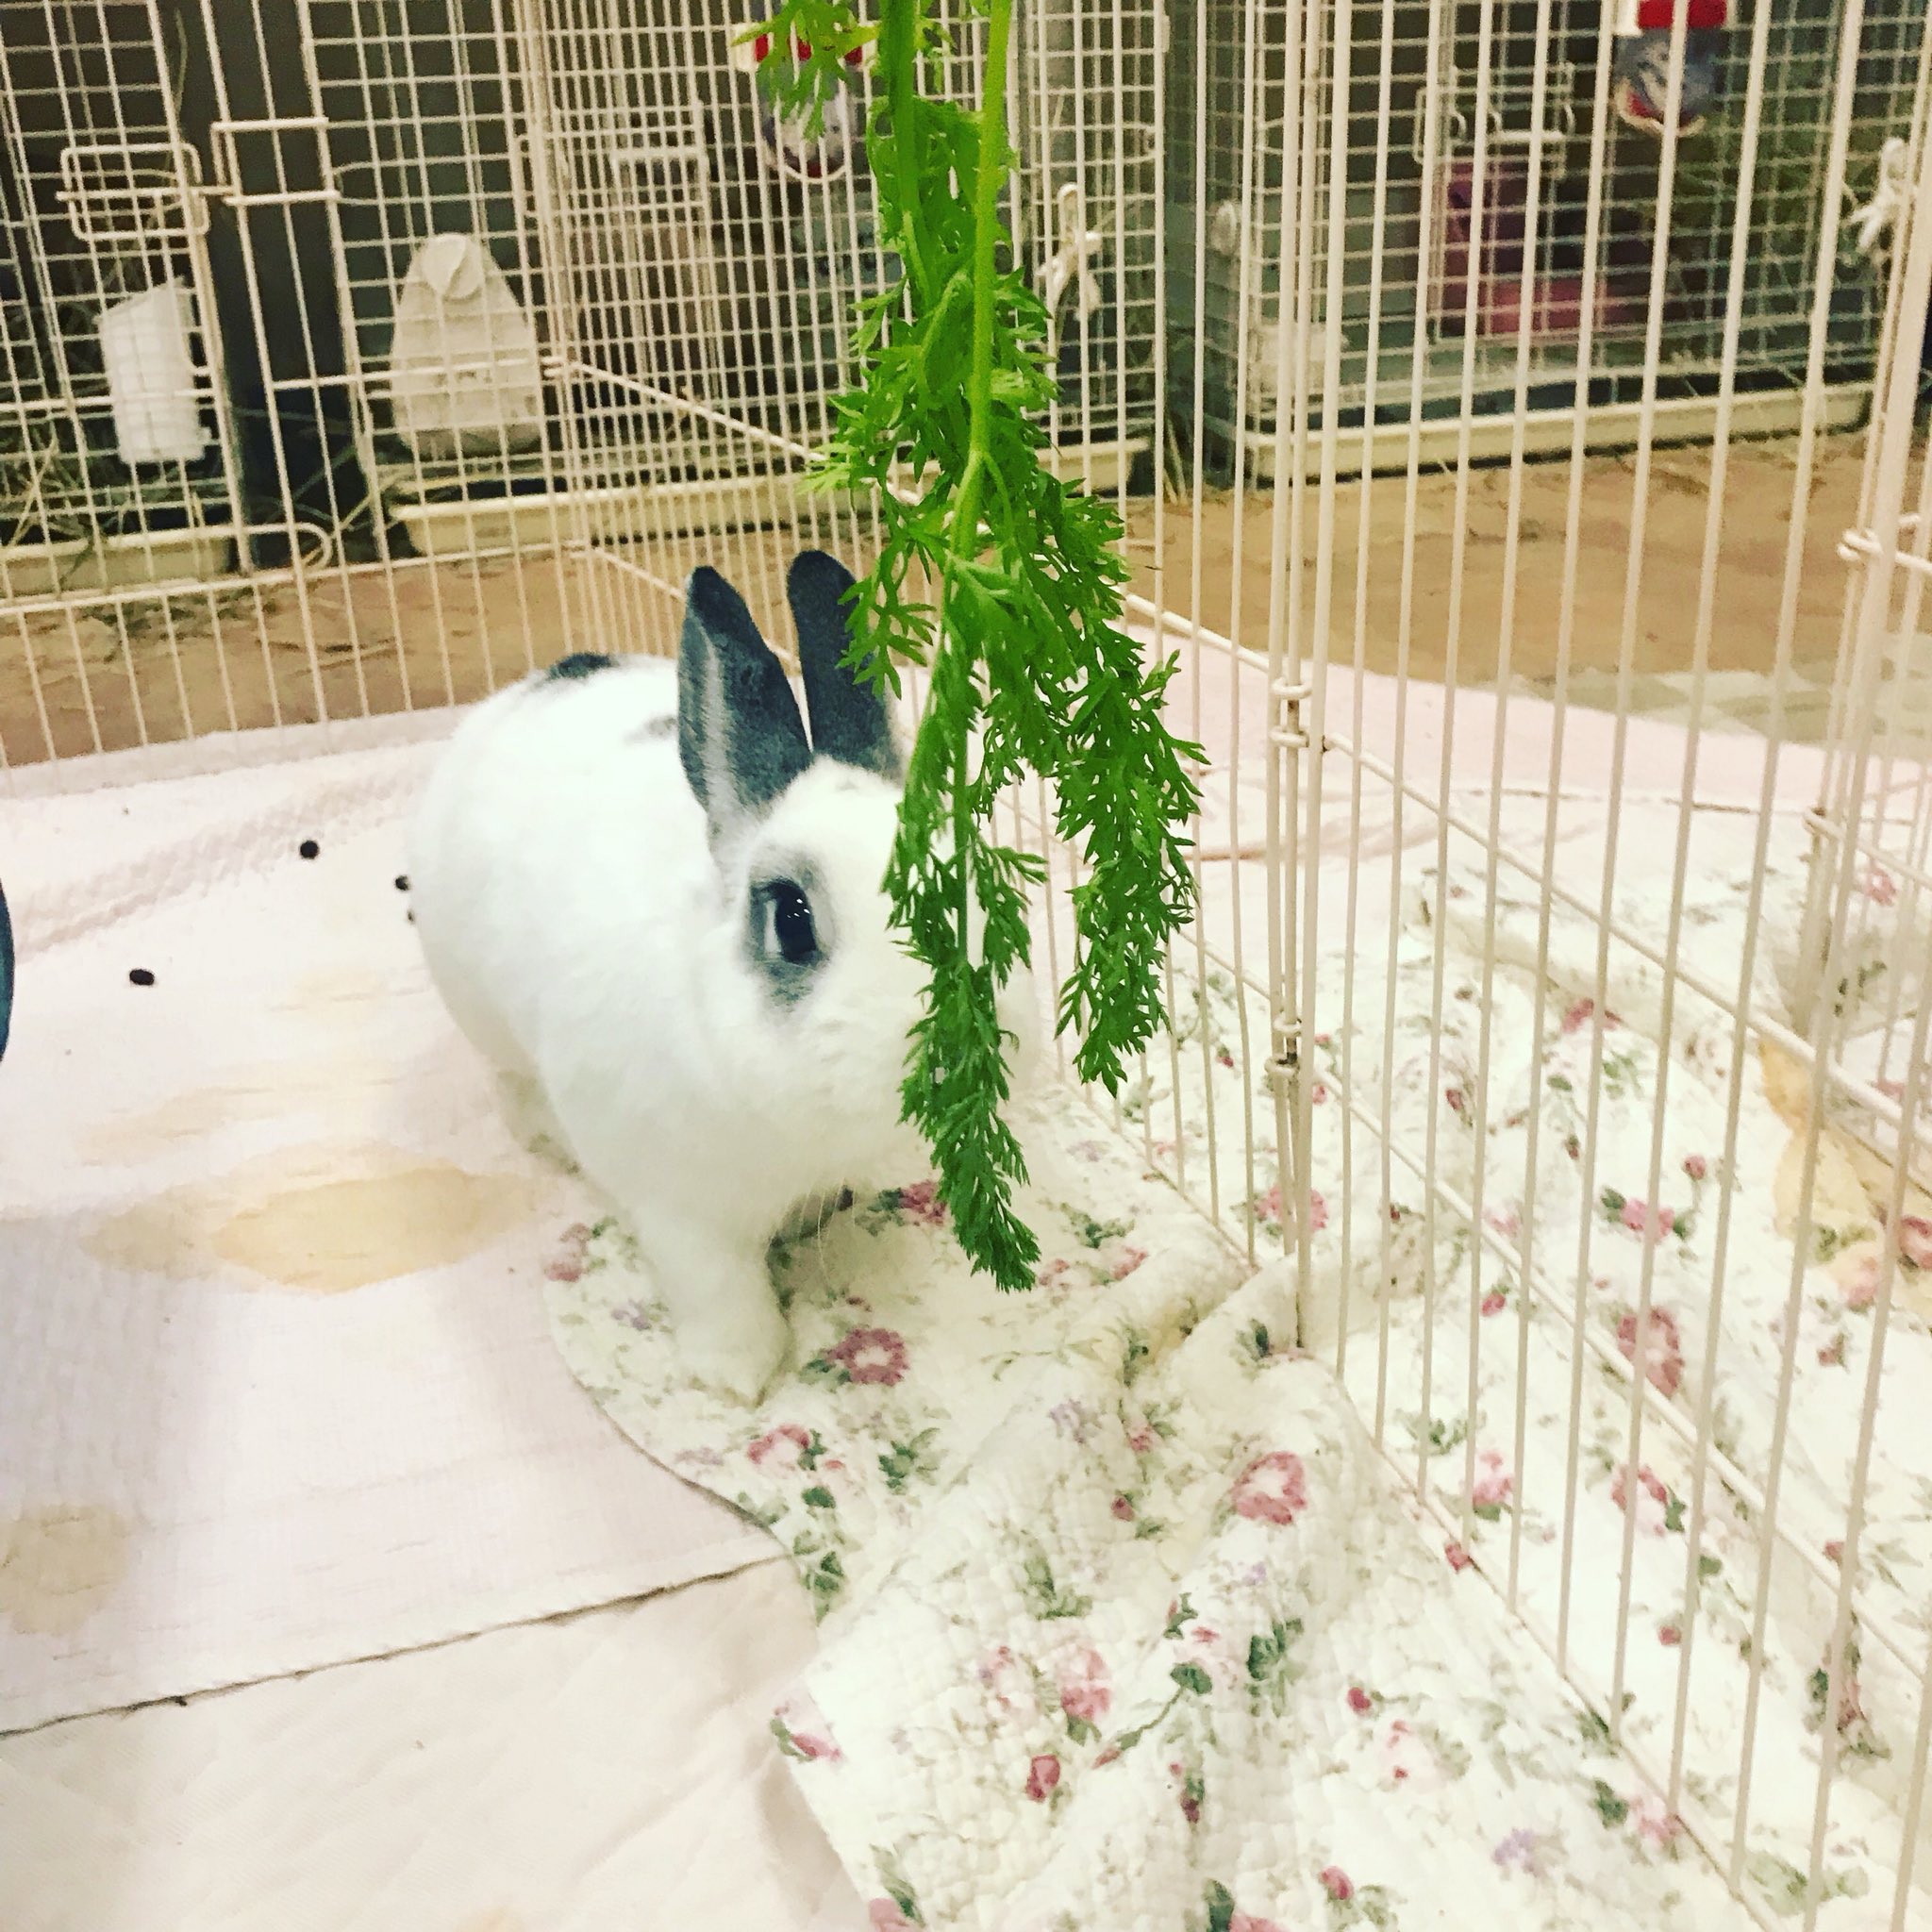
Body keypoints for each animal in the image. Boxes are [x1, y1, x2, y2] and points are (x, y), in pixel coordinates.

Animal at [409, 549, 1037, 1402]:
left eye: (975, 887)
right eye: (792, 922)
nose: (957, 1055)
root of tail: (529, 684)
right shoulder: (679, 1212)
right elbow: (719, 1292)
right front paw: (737, 1376)